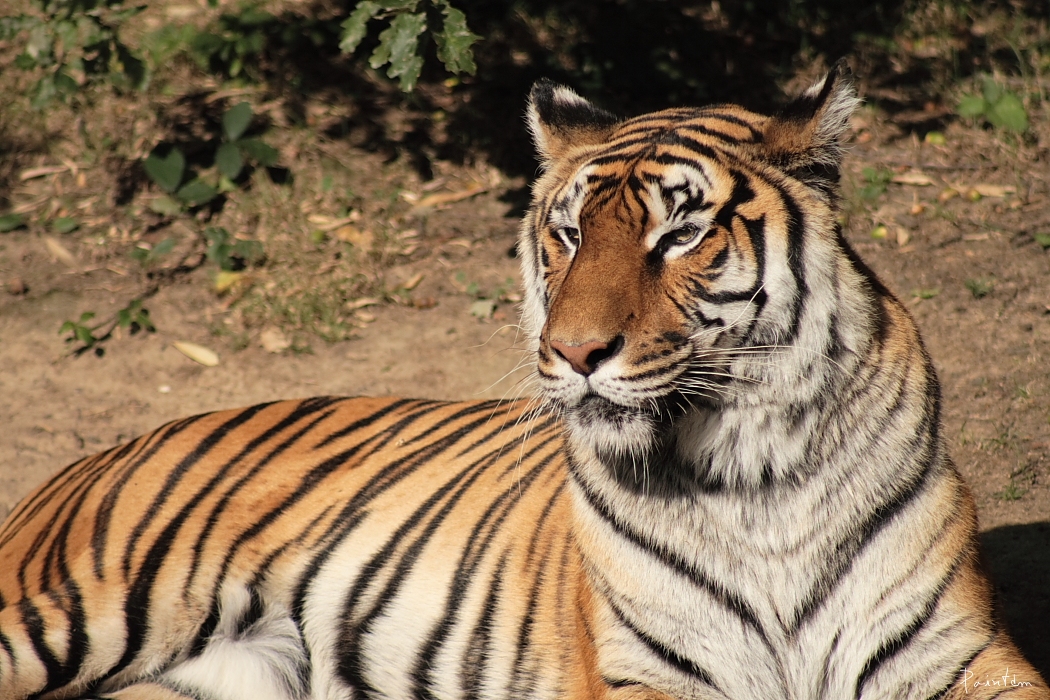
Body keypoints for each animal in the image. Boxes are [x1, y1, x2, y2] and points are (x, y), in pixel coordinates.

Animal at [0, 64, 1045, 696]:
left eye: (680, 233)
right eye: (571, 232)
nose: (577, 352)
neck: (756, 474)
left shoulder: (958, 653)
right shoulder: (650, 673)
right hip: (66, 614)